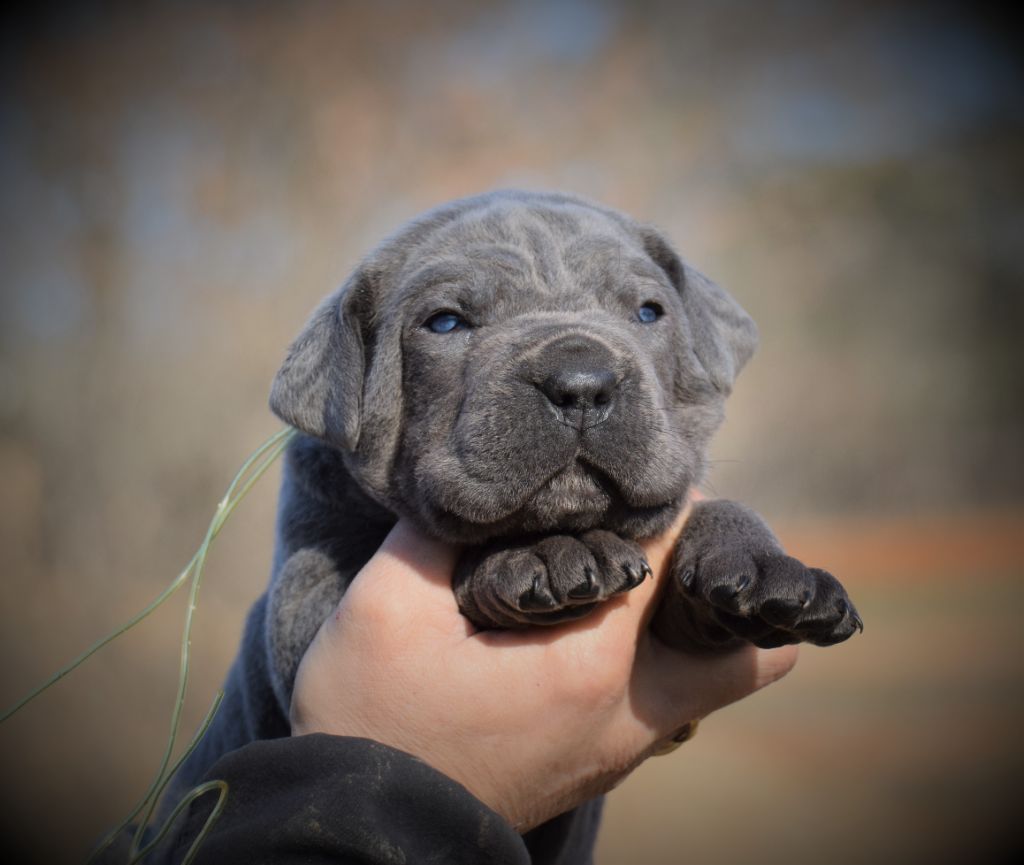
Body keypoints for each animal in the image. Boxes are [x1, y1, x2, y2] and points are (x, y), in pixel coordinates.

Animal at [172, 185, 860, 855]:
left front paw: (762, 567)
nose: (581, 383)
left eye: (648, 312)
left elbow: (721, 522)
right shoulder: (303, 600)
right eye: (445, 322)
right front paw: (542, 553)